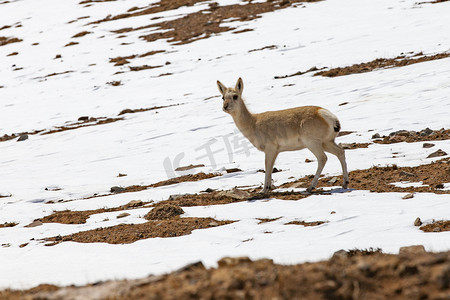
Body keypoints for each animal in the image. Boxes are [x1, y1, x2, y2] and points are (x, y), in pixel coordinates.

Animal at [216, 78, 350, 193]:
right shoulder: (276, 151)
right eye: (222, 97)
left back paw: (310, 187)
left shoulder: (270, 149)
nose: (225, 106)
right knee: (340, 152)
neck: (254, 122)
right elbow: (270, 168)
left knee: (323, 158)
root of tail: (327, 115)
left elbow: (267, 167)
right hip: (327, 143)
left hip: (312, 143)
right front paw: (268, 188)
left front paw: (263, 190)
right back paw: (345, 183)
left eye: (235, 96)